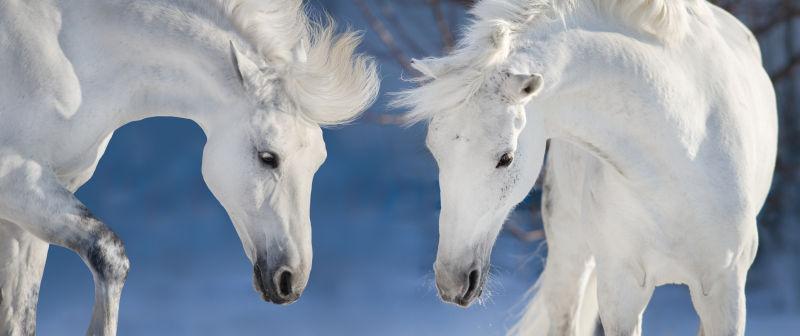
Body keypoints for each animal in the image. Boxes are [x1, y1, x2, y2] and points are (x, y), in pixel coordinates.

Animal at [0, 0, 378, 334]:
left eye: (318, 161)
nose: (291, 280)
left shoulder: (28, 219)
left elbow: (20, 320)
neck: (67, 50)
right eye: (268, 157)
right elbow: (109, 253)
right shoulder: (18, 182)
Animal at [396, 0, 780, 334]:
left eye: (505, 158)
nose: (452, 281)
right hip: (569, 258)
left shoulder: (726, 293)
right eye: (435, 152)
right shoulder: (621, 291)